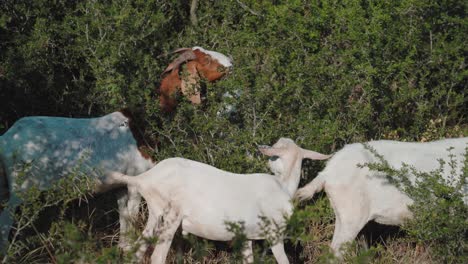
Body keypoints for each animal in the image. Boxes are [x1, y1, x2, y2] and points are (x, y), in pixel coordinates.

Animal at [0, 111, 155, 252]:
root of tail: (5, 139)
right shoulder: (136, 181)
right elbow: (133, 216)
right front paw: (129, 249)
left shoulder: (121, 187)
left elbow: (124, 217)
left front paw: (122, 247)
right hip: (18, 193)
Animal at [108, 138, 330, 264]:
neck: (282, 186)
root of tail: (146, 178)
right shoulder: (274, 235)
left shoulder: (246, 238)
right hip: (172, 215)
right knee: (157, 256)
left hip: (156, 214)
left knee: (138, 251)